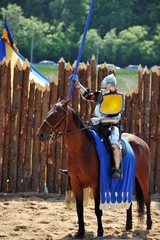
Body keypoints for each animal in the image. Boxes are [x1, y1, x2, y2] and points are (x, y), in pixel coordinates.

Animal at [37, 98, 152, 239]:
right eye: (49, 112)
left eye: (56, 115)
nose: (41, 134)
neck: (81, 150)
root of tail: (142, 143)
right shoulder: (76, 184)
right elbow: (79, 209)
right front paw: (80, 232)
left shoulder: (96, 183)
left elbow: (98, 210)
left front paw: (100, 232)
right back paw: (128, 226)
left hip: (143, 177)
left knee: (147, 198)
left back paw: (149, 225)